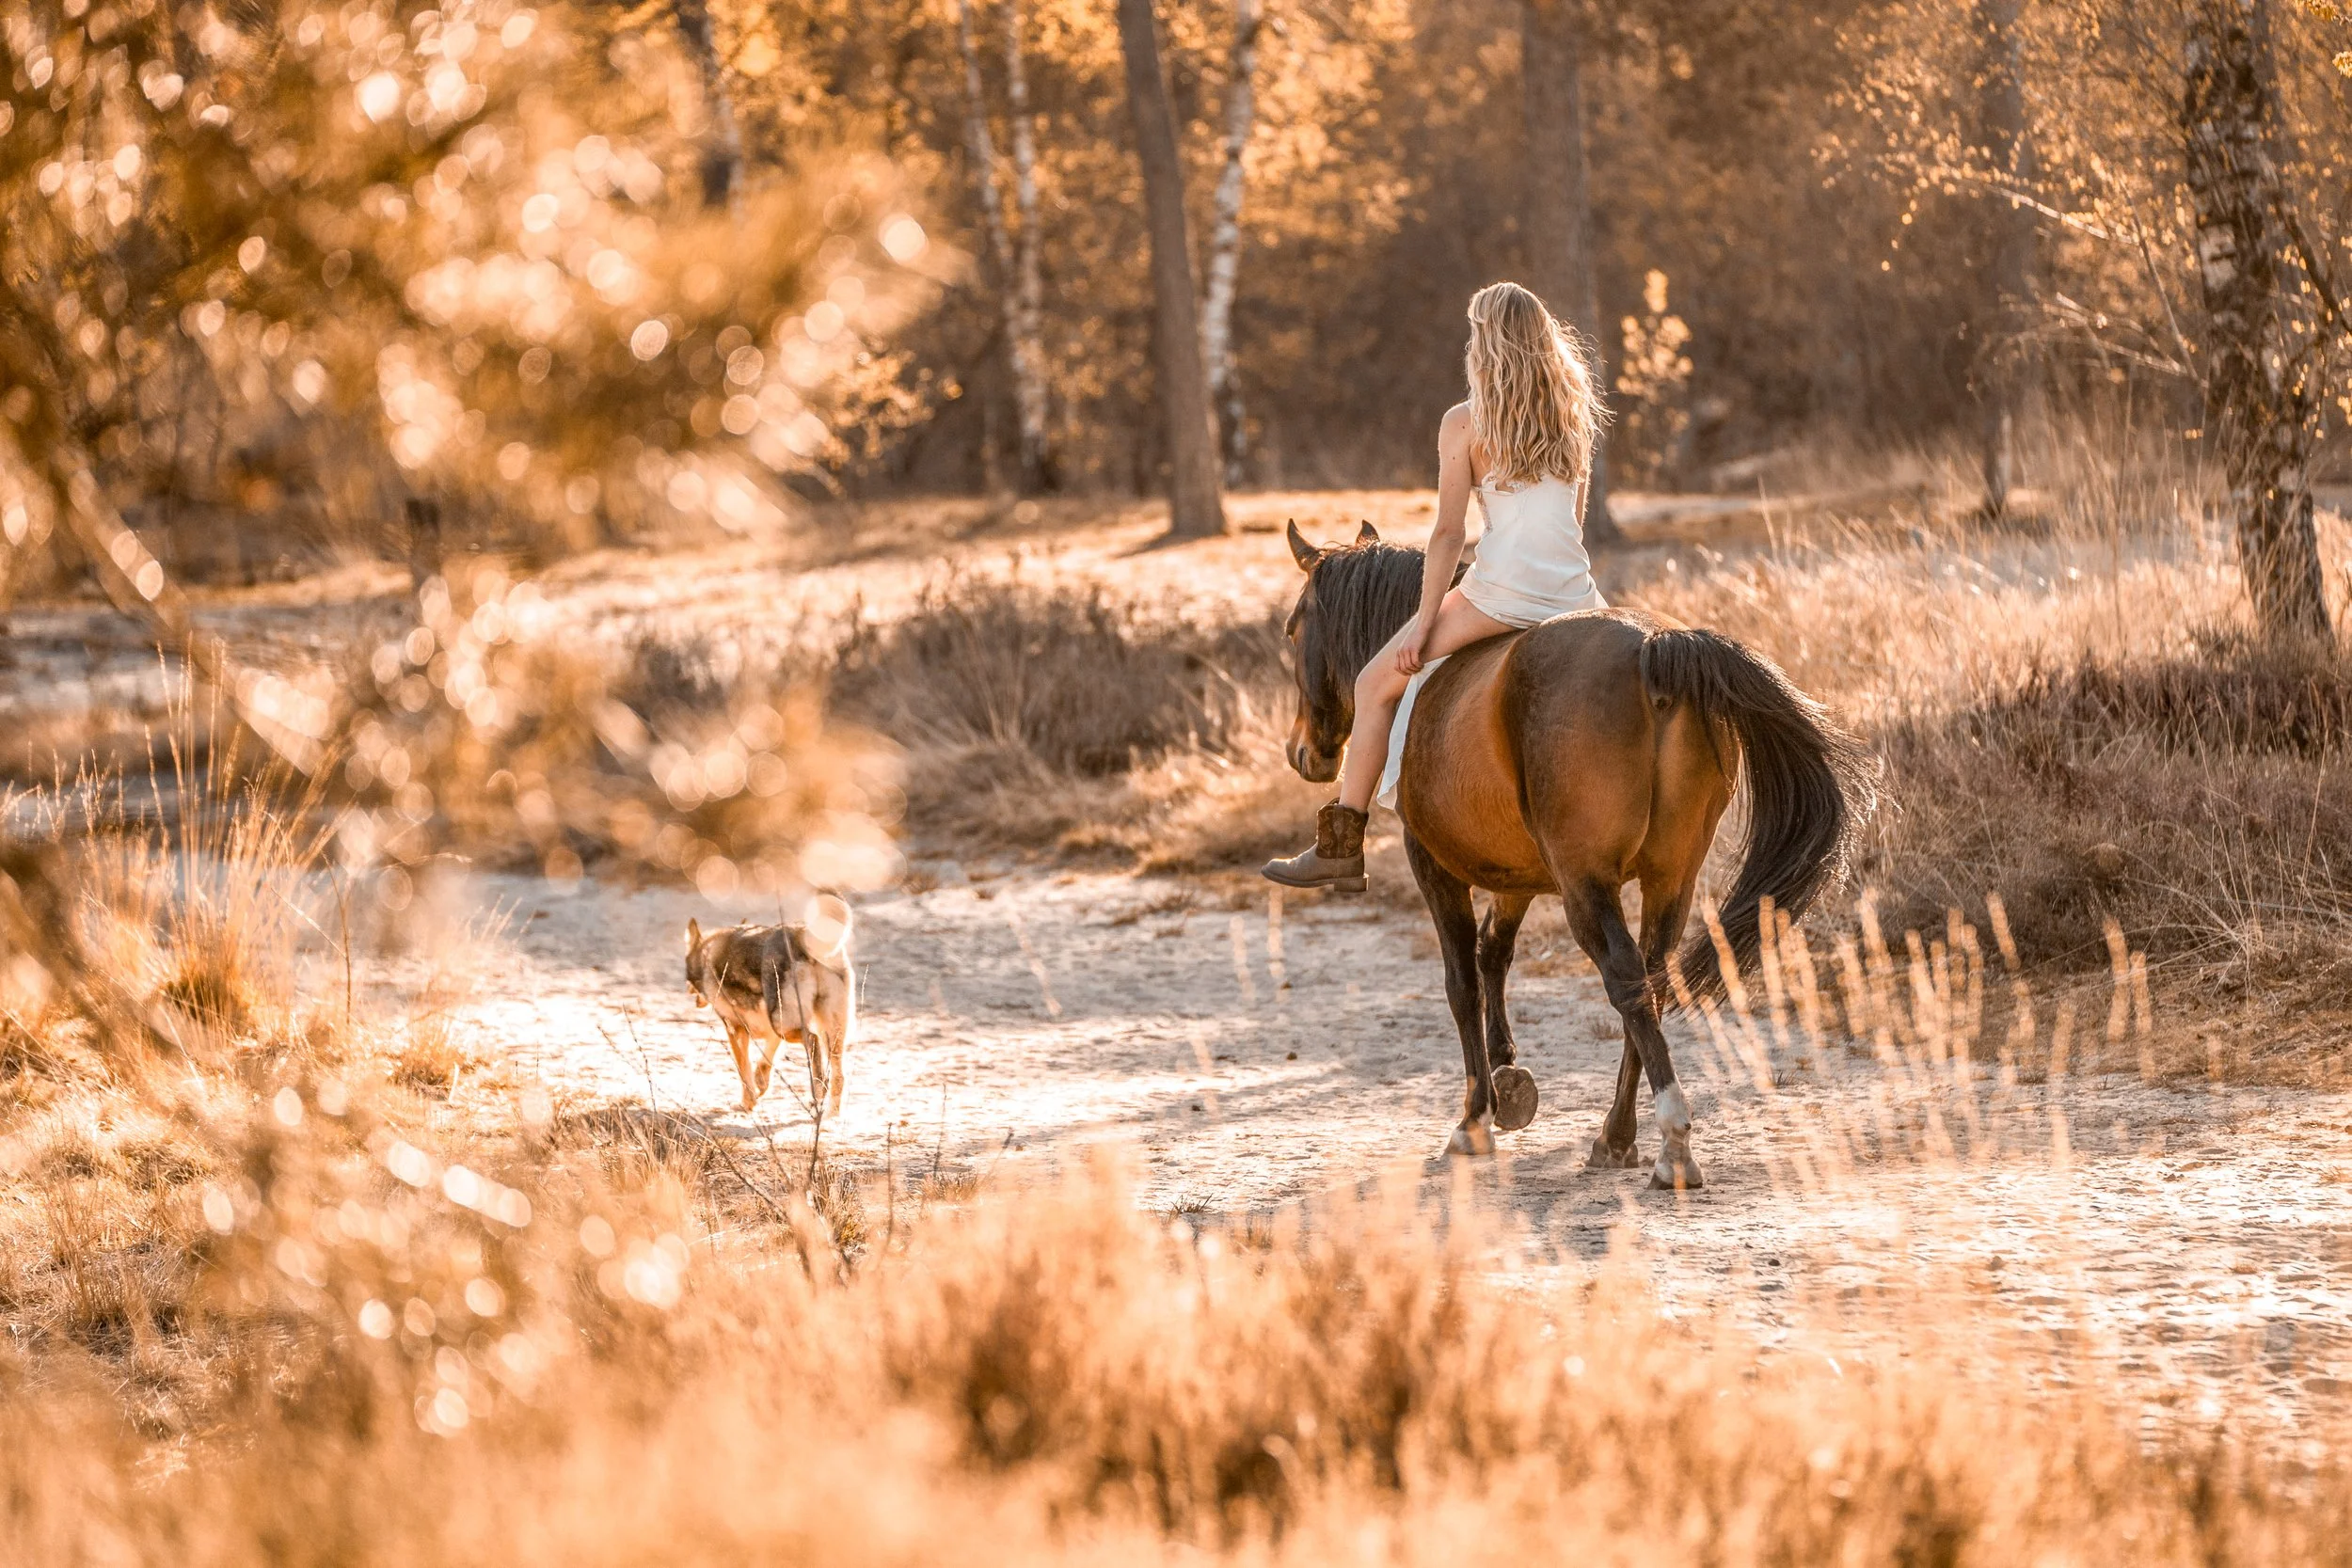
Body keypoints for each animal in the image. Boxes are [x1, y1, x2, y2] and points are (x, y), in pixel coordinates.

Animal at [1281, 520, 1873, 1188]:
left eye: (1294, 629)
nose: (1304, 754)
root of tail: (1658, 644)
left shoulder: (1432, 863)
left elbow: (1462, 982)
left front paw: (1476, 1118)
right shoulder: (1517, 876)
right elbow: (1494, 954)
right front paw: (1508, 1078)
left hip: (1585, 885)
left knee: (1625, 976)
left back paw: (1672, 1141)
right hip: (1670, 879)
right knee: (1651, 982)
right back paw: (1617, 1137)